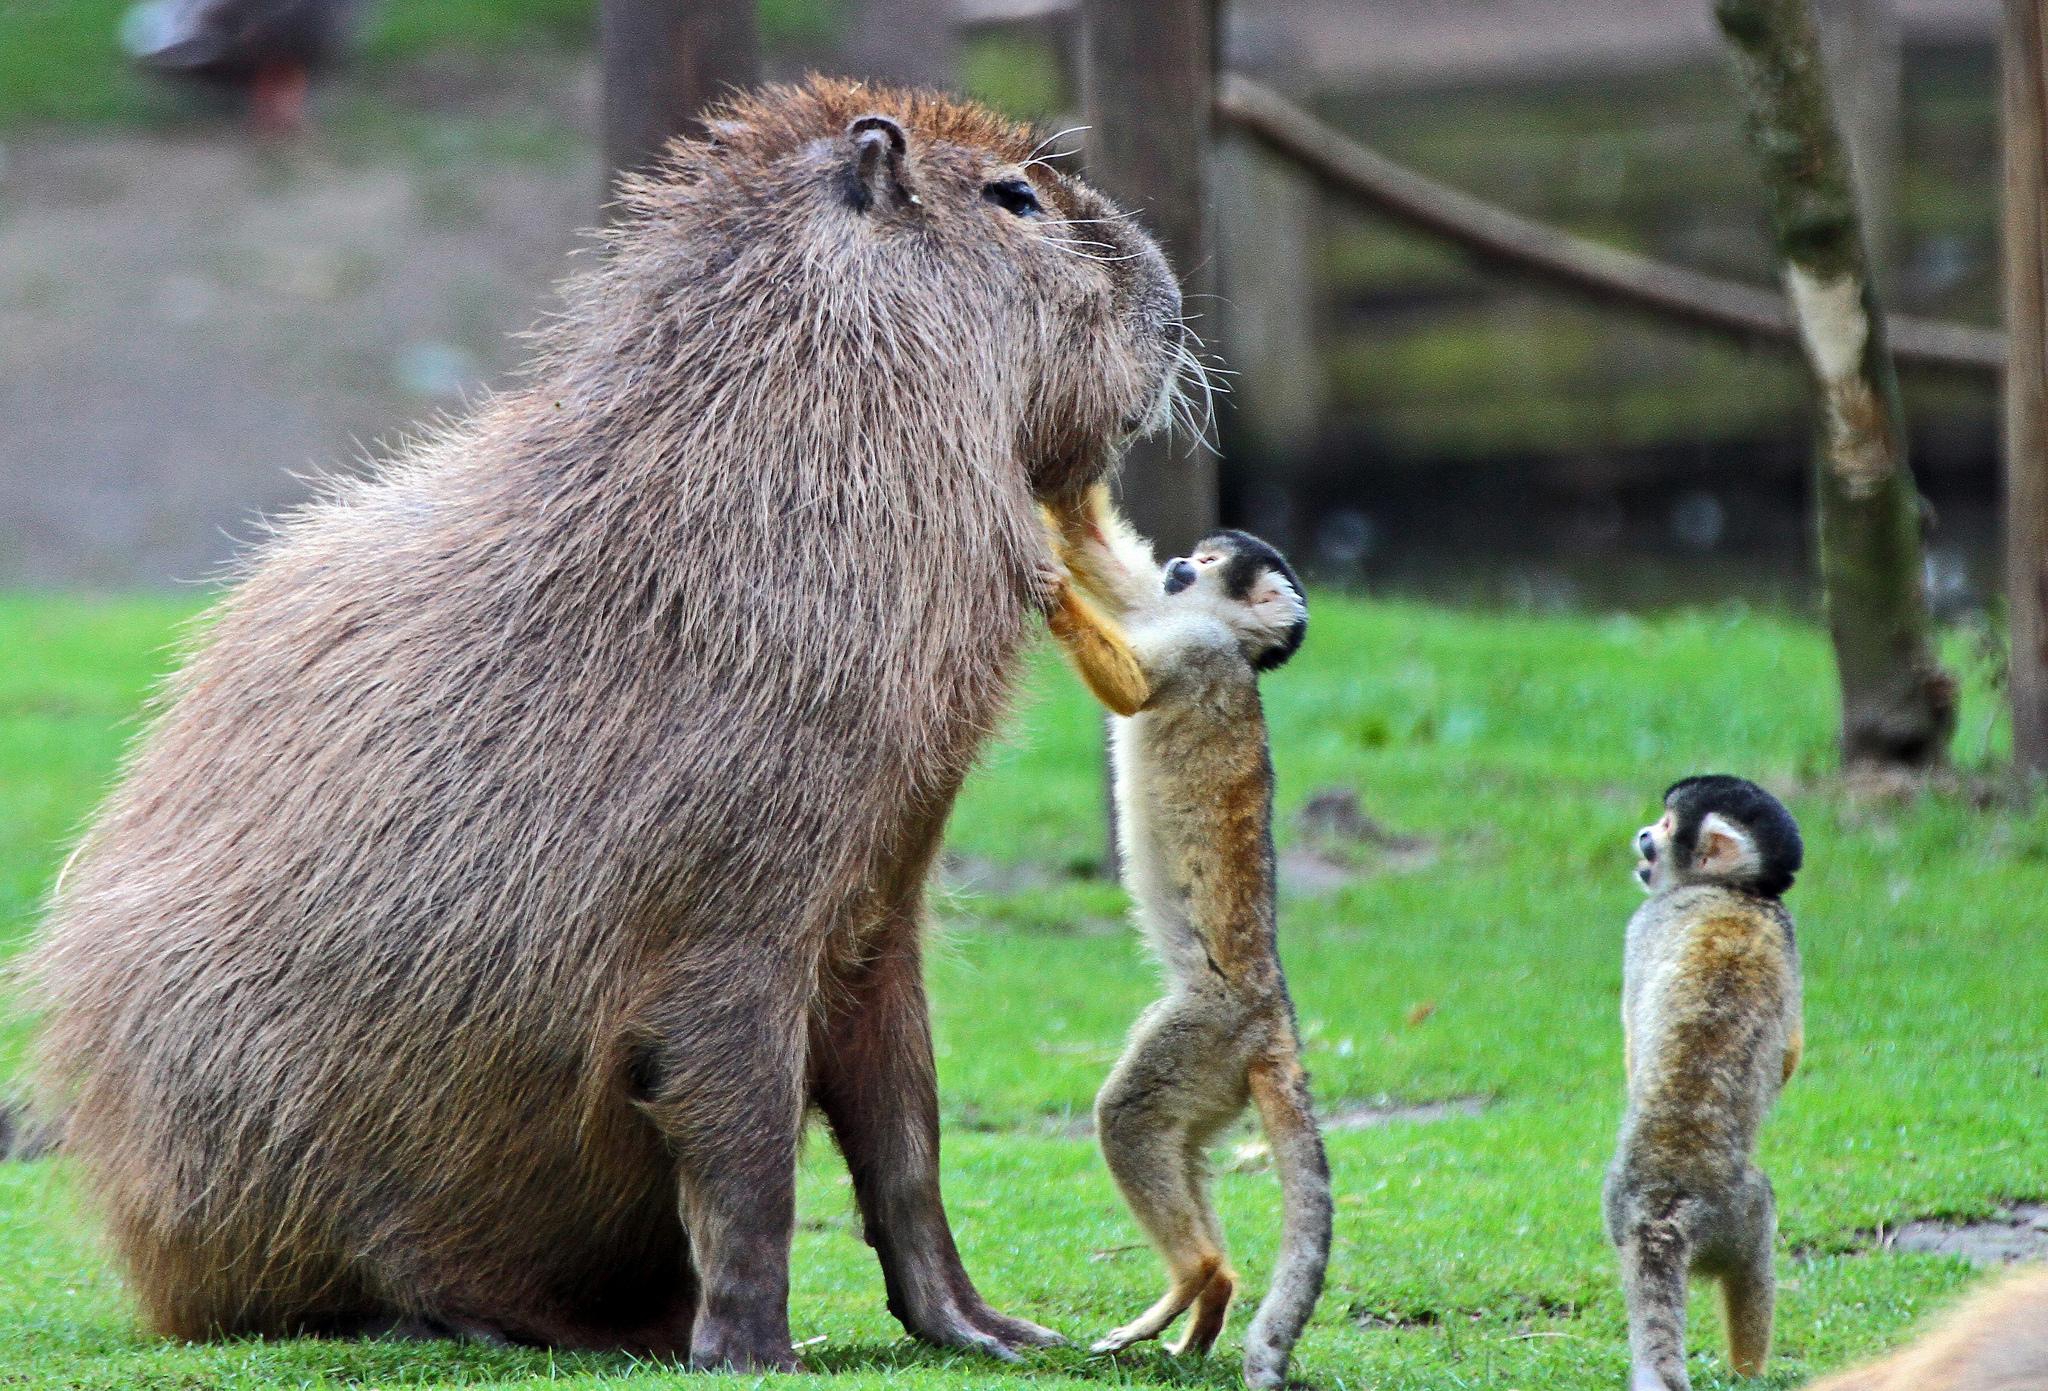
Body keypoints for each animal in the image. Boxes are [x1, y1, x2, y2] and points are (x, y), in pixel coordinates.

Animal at [24, 78, 1196, 1368]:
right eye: (1016, 196)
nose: (1170, 305)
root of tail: (147, 1272)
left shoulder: (879, 899)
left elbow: (905, 1131)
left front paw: (993, 1330)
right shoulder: (728, 917)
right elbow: (741, 1133)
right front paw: (754, 1350)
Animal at [1040, 489, 1327, 1391]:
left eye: (1208, 567)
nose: (1179, 565)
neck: (1219, 630)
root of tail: (1276, 1018)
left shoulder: (1199, 648)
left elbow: (1133, 688)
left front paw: (1049, 591)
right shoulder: (1165, 612)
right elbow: (1102, 556)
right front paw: (1054, 505)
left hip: (1207, 1029)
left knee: (1129, 1115)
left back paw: (1195, 1272)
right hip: (1218, 1071)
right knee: (1171, 1136)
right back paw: (1213, 1289)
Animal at [1597, 774, 1810, 1391]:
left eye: (1665, 827)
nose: (1643, 834)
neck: (1736, 891)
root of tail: (1662, 1206)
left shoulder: (1643, 924)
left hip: (1686, 1213)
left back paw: (1748, 1370)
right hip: (1724, 1215)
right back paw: (1749, 1373)